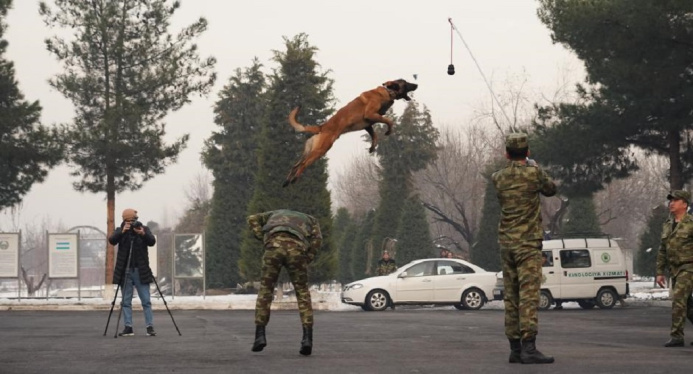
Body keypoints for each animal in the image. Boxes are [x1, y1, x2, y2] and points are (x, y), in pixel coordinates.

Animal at [282, 78, 416, 186]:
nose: (416, 84)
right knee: (303, 165)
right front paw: (388, 131)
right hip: (321, 150)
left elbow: (374, 135)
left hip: (309, 151)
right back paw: (294, 179)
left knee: (295, 165)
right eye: (406, 83)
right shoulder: (370, 114)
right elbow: (389, 121)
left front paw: (372, 147)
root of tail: (321, 127)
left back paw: (287, 181)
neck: (388, 91)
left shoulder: (368, 124)